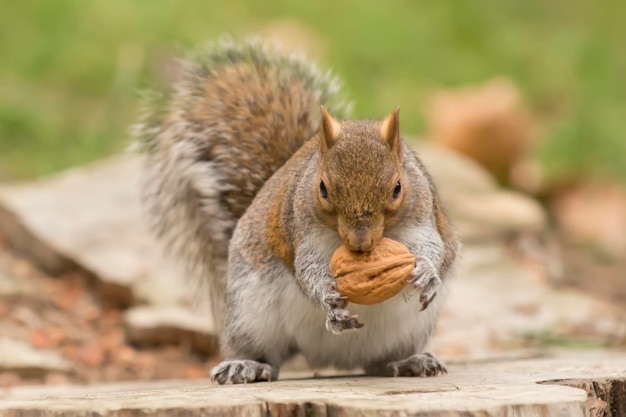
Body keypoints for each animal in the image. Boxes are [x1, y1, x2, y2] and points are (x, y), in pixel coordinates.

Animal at [134, 38, 458, 384]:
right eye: (323, 188)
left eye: (397, 187)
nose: (360, 243)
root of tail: (328, 358)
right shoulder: (303, 231)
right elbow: (307, 269)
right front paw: (328, 297)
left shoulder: (422, 216)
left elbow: (431, 245)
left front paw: (426, 271)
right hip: (250, 313)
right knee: (268, 356)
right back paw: (247, 365)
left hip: (409, 329)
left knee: (379, 362)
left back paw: (409, 361)